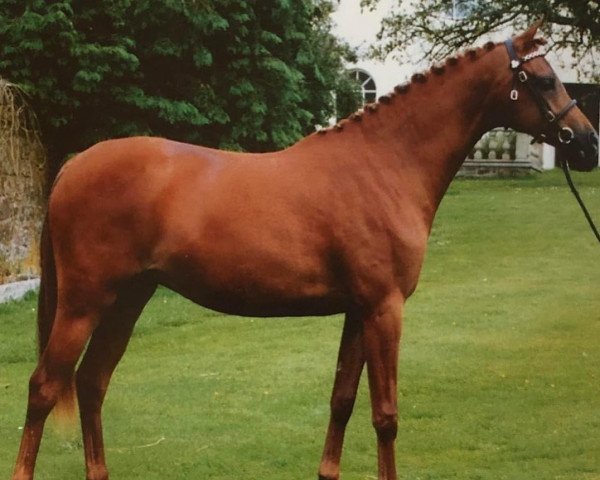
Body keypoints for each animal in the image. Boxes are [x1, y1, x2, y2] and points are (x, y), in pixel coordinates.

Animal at [11, 23, 596, 480]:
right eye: (546, 79)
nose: (587, 144)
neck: (384, 164)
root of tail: (74, 163)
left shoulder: (359, 310)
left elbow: (342, 400)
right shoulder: (385, 308)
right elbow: (385, 414)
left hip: (130, 299)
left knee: (91, 382)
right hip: (84, 303)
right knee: (44, 387)